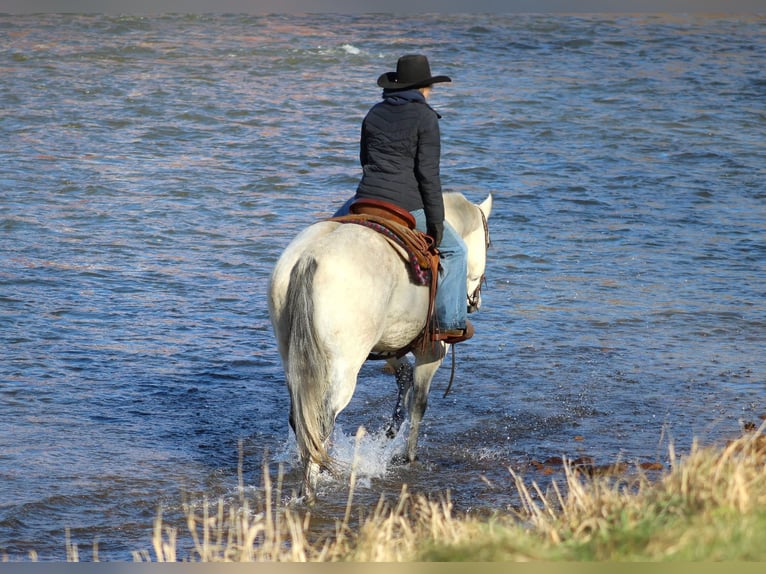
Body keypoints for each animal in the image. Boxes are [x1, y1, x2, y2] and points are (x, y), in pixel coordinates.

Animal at [270, 192, 496, 500]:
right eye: (488, 243)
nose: (476, 302)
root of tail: (310, 257)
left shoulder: (390, 342)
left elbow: (404, 376)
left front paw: (392, 428)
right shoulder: (432, 351)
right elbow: (419, 403)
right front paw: (408, 456)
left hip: (293, 358)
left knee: (301, 418)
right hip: (343, 369)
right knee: (322, 421)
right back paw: (311, 490)